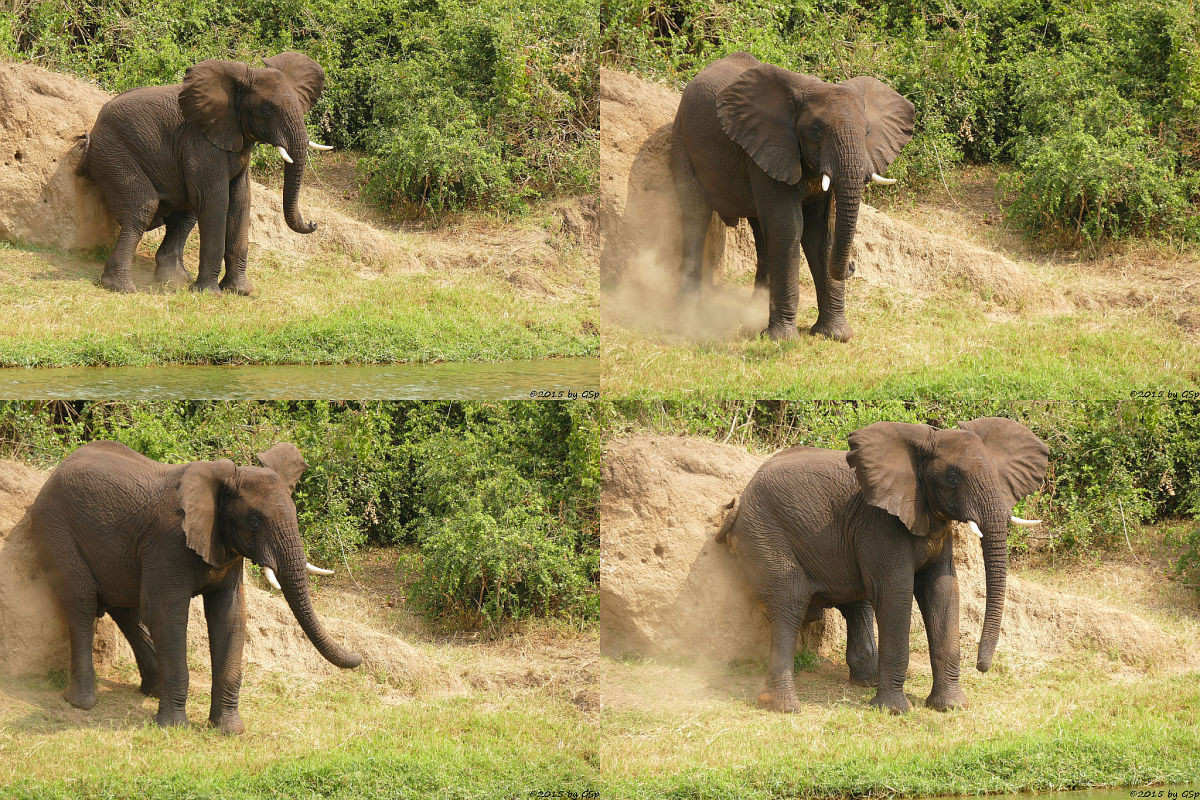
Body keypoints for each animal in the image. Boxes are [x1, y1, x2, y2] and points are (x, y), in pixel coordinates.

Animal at [25, 441, 357, 734]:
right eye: (253, 521)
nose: (358, 658)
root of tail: (56, 470)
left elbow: (230, 616)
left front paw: (228, 730)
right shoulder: (167, 543)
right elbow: (166, 615)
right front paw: (172, 727)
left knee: (125, 609)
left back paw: (153, 691)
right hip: (55, 528)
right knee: (82, 601)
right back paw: (81, 702)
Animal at [78, 53, 333, 297]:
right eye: (267, 109)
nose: (313, 223)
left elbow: (241, 203)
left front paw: (241, 291)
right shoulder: (200, 142)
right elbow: (216, 202)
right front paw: (211, 293)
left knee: (184, 215)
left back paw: (175, 279)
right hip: (113, 153)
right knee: (143, 208)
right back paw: (121, 287)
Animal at [672, 52, 912, 340]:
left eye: (867, 132)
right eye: (816, 131)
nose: (852, 266)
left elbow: (820, 232)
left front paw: (834, 335)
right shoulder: (770, 145)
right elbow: (789, 227)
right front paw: (782, 339)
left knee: (760, 230)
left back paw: (753, 309)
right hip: (683, 138)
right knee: (695, 216)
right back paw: (687, 315)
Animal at [715, 419, 1046, 714]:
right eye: (952, 477)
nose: (982, 666)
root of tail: (738, 502)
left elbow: (942, 590)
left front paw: (951, 707)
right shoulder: (879, 523)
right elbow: (894, 593)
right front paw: (893, 710)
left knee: (852, 600)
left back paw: (865, 681)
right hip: (763, 531)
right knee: (790, 600)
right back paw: (784, 707)